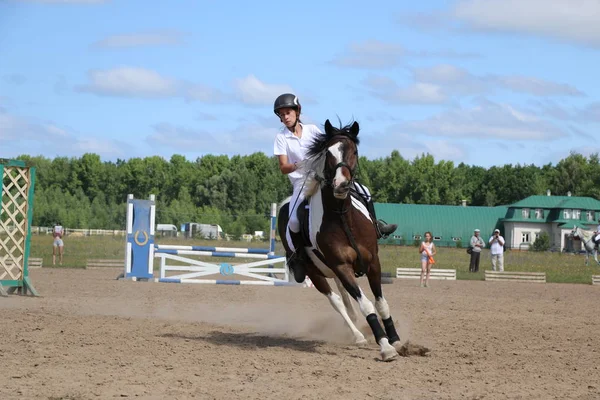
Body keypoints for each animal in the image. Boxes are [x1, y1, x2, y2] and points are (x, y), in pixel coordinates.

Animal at [276, 119, 426, 362]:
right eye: (328, 153)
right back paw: (358, 336)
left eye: (354, 151)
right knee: (337, 301)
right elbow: (366, 306)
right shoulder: (341, 267)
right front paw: (385, 346)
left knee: (345, 300)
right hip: (316, 273)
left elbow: (381, 304)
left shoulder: (373, 262)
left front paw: (395, 339)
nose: (341, 185)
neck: (342, 217)